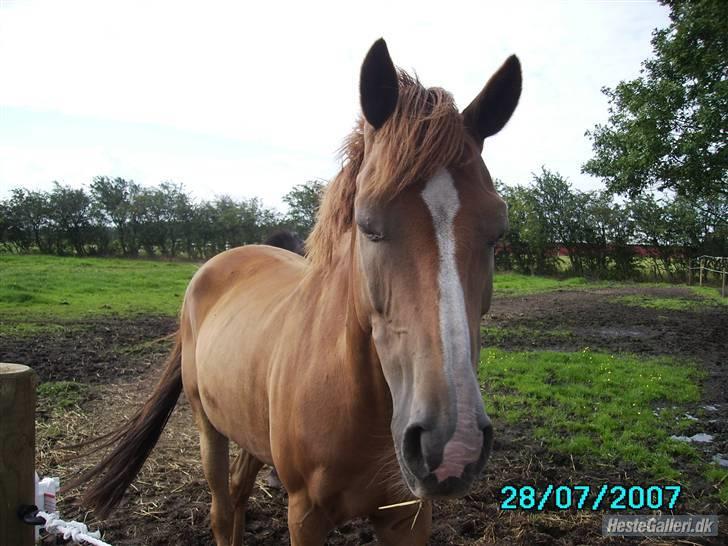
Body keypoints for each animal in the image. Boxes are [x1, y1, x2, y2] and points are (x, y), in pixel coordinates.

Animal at [72, 39, 516, 544]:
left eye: (497, 232)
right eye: (368, 224)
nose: (453, 445)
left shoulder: (408, 516)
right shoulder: (305, 514)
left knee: (239, 495)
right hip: (209, 425)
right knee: (222, 509)